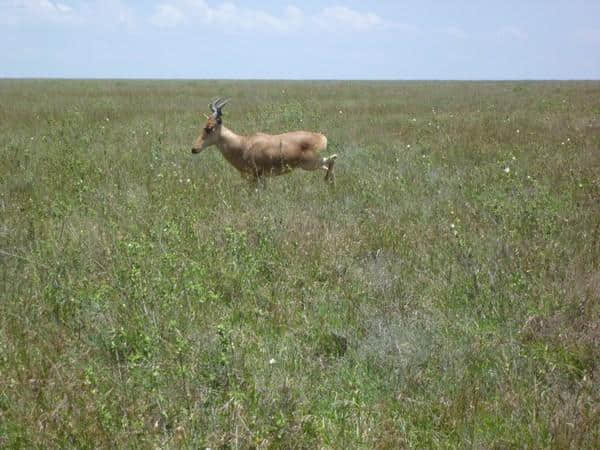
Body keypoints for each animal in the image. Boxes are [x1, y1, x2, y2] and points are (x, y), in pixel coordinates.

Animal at [191, 98, 338, 183]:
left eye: (210, 128)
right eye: (205, 125)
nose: (194, 149)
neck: (243, 143)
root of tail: (321, 137)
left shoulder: (256, 177)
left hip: (310, 164)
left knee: (333, 159)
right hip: (314, 164)